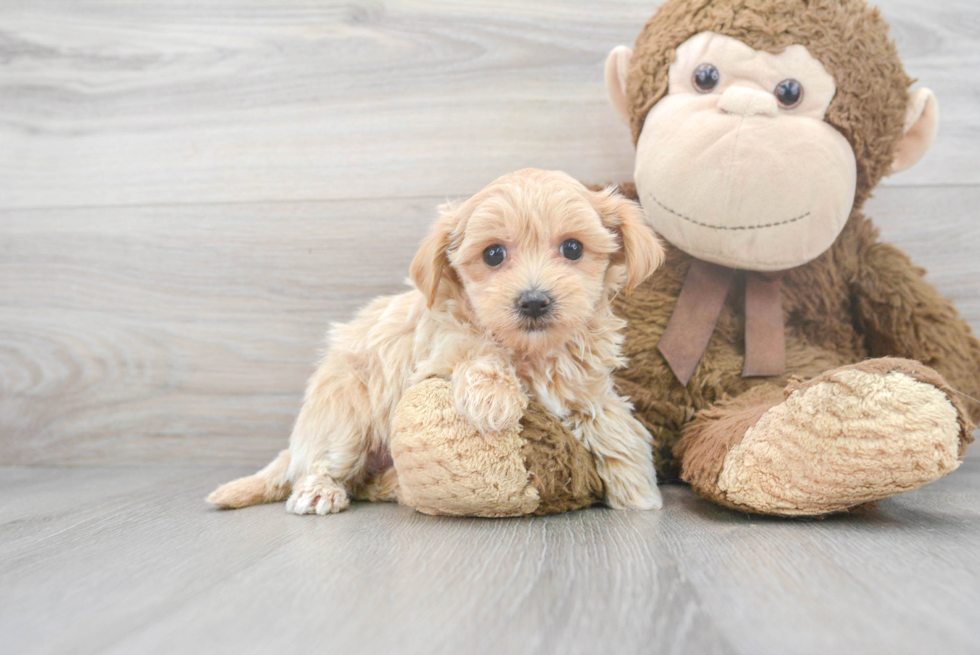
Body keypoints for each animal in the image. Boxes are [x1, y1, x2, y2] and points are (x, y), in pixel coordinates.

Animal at [207, 170, 668, 516]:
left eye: (573, 248)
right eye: (493, 254)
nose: (534, 301)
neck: (532, 352)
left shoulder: (584, 386)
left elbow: (612, 421)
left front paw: (636, 487)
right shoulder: (437, 354)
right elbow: (476, 349)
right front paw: (495, 398)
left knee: (364, 483)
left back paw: (393, 484)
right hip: (346, 414)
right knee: (323, 463)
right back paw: (320, 490)